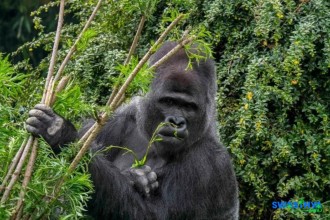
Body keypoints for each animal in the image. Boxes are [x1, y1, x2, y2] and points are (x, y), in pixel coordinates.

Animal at [25, 42, 237, 219]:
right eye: (169, 101)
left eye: (189, 107)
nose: (176, 122)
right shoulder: (110, 121)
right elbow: (56, 194)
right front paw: (137, 178)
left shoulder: (210, 164)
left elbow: (152, 215)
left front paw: (61, 135)